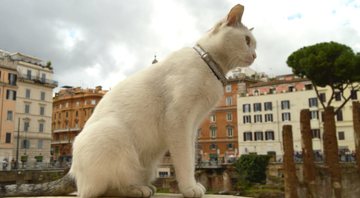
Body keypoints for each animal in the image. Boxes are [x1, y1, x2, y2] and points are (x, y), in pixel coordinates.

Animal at [1, 3, 258, 198]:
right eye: (247, 40)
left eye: (253, 43)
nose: (255, 54)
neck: (210, 65)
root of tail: (71, 170)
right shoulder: (179, 121)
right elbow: (185, 161)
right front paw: (190, 188)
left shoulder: (193, 125)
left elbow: (191, 156)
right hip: (114, 136)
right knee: (98, 190)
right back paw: (137, 190)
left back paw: (143, 187)